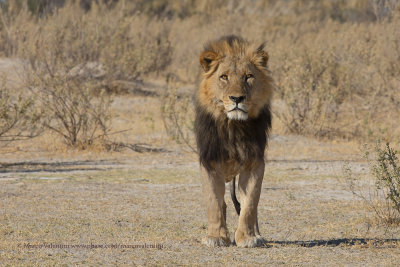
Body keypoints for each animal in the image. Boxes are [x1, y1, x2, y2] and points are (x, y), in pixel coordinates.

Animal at [194, 35, 272, 249]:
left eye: (248, 77)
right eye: (224, 77)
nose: (237, 98)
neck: (233, 126)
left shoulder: (254, 162)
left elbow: (250, 204)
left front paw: (248, 237)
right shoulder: (210, 162)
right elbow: (213, 202)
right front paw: (216, 237)